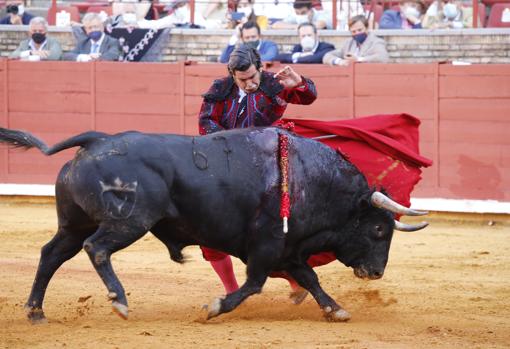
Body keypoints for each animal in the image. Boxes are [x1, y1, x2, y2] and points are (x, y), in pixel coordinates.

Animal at [0, 124, 428, 320]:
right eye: (378, 229)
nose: (375, 273)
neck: (312, 181)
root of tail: (97, 140)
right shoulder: (267, 246)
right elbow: (254, 284)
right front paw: (217, 306)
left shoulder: (288, 249)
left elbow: (310, 279)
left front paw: (335, 309)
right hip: (128, 222)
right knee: (97, 249)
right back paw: (119, 300)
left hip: (74, 224)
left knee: (51, 254)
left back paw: (35, 311)